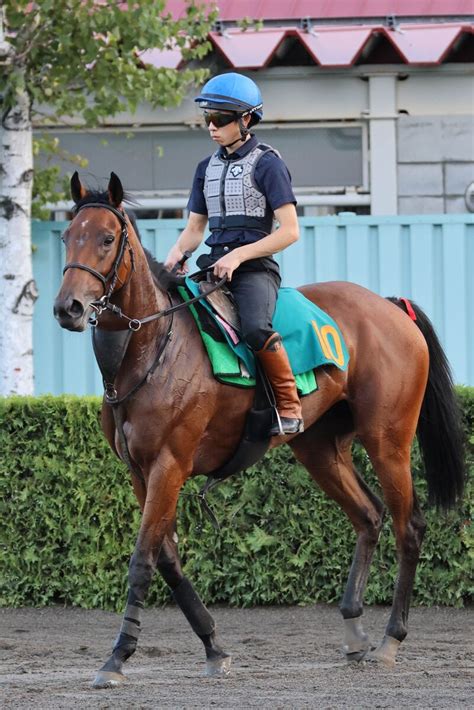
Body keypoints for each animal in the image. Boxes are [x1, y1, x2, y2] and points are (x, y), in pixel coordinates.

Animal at [53, 172, 464, 688]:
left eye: (107, 239)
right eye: (67, 236)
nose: (67, 307)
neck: (152, 350)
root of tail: (391, 306)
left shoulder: (170, 465)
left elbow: (143, 559)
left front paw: (117, 658)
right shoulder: (140, 472)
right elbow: (168, 559)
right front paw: (214, 646)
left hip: (388, 441)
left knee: (408, 526)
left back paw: (391, 639)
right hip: (319, 448)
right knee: (368, 516)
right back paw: (354, 632)